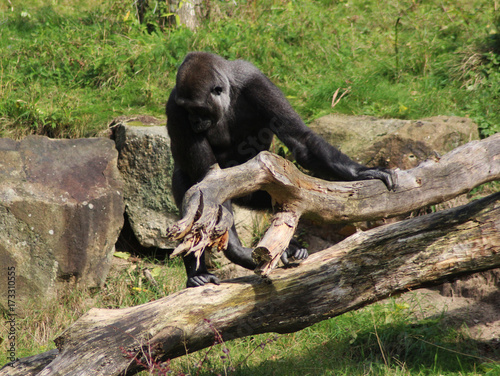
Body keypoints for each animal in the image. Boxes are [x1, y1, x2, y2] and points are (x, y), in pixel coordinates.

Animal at [167, 51, 394, 288]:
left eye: (197, 109)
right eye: (187, 109)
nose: (194, 121)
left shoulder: (256, 81)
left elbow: (299, 138)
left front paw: (358, 172)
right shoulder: (174, 107)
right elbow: (209, 182)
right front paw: (237, 250)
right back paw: (197, 273)